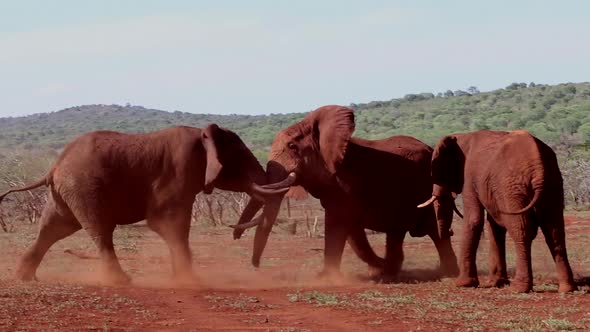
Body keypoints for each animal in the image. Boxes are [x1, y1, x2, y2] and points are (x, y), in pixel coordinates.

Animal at [0, 124, 284, 286]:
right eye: (240, 157)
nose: (235, 232)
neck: (203, 135)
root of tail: (54, 166)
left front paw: (183, 279)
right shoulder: (178, 171)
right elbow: (168, 223)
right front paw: (189, 281)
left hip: (67, 192)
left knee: (54, 228)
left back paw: (26, 278)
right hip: (84, 187)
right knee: (99, 230)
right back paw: (122, 282)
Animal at [234, 105, 460, 278]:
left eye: (292, 146)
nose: (256, 266)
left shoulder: (345, 184)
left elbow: (340, 224)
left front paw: (326, 278)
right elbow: (351, 229)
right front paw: (376, 270)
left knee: (436, 232)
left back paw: (447, 274)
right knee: (397, 233)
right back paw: (391, 271)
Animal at [420, 130, 580, 294]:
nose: (450, 231)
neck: (463, 135)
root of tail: (538, 166)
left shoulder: (469, 176)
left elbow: (474, 220)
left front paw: (462, 284)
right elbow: (494, 227)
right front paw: (496, 282)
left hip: (511, 187)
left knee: (521, 231)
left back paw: (518, 288)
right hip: (552, 183)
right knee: (554, 231)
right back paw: (567, 288)